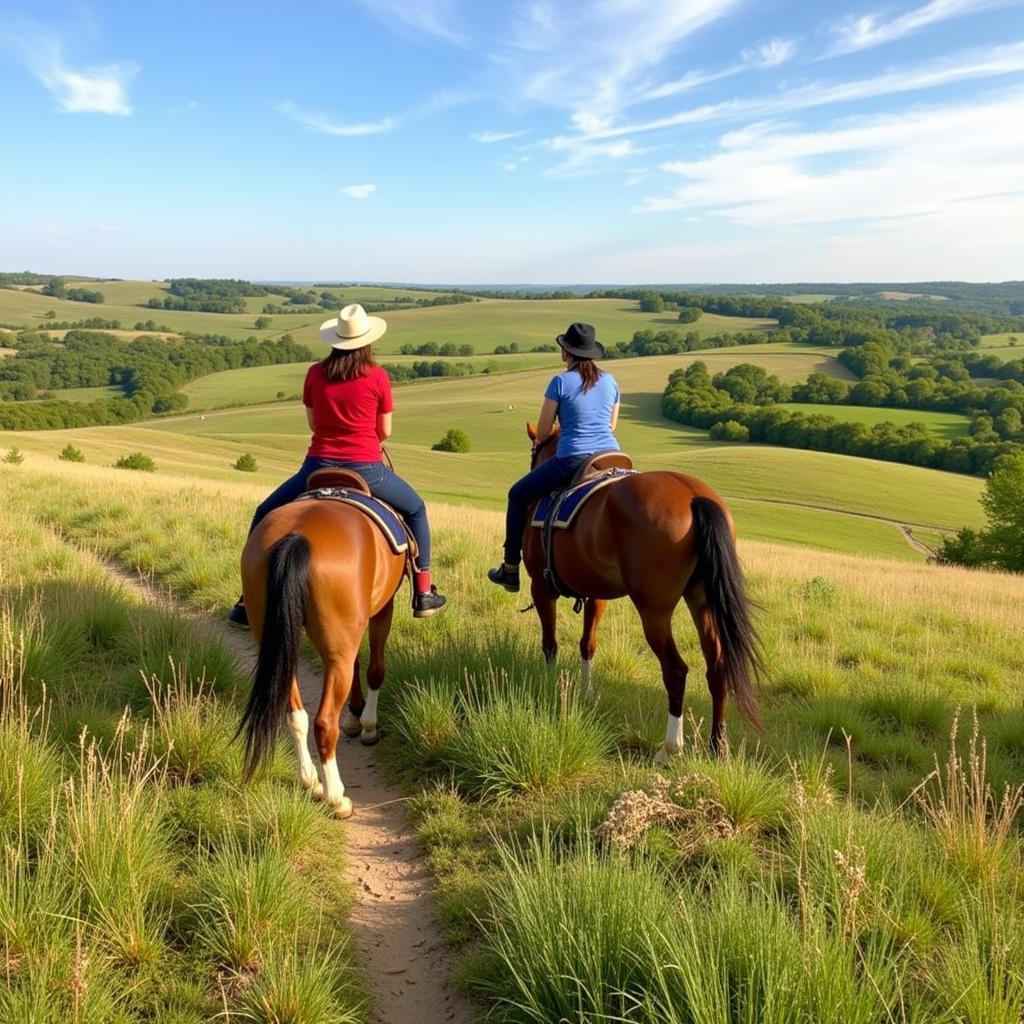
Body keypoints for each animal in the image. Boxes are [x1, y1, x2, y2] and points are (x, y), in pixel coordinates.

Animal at [235, 495, 403, 815]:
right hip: (337, 652)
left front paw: (355, 715)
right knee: (324, 723)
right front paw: (366, 725)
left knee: (295, 715)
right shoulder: (382, 609)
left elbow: (360, 663)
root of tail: (297, 535)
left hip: (279, 644)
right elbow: (375, 669)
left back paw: (310, 780)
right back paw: (336, 797)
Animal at [524, 423, 765, 761]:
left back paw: (670, 748)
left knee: (676, 671)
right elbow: (588, 644)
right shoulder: (597, 595)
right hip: (701, 601)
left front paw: (548, 686)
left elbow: (550, 645)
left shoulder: (541, 587)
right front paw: (586, 692)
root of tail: (694, 496)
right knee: (717, 668)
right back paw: (717, 746)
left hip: (655, 612)